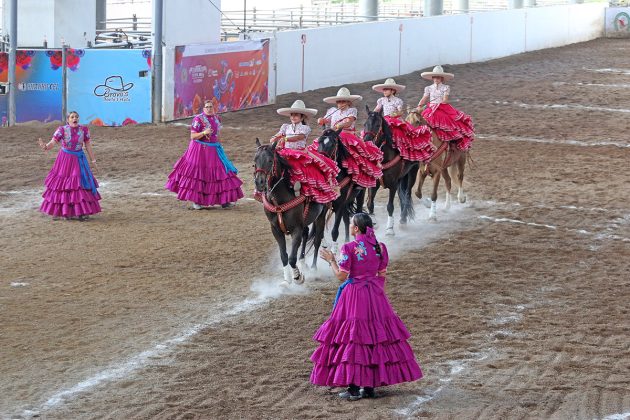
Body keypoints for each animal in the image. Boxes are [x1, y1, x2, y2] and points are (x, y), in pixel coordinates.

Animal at [254, 139, 328, 284]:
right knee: (306, 235)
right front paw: (287, 279)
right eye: (255, 160)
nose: (259, 182)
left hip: (322, 214)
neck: (279, 201)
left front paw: (298, 277)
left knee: (317, 240)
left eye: (270, 160)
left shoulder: (296, 229)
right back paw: (303, 263)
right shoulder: (275, 229)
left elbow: (292, 258)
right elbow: (284, 255)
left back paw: (313, 268)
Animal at [366, 104, 420, 235]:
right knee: (402, 196)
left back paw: (403, 220)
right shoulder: (374, 184)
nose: (366, 141)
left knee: (407, 195)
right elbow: (370, 204)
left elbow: (390, 206)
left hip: (413, 172)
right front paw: (374, 223)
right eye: (365, 124)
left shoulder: (393, 185)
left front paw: (389, 229)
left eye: (377, 125)